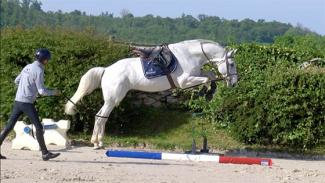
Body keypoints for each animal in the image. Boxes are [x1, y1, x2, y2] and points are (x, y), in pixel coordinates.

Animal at [65, 39, 238, 149]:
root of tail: (106, 70)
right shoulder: (184, 81)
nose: (234, 83)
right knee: (100, 117)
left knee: (102, 117)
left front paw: (211, 90)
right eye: (231, 64)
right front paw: (207, 90)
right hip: (112, 99)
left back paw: (99, 142)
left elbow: (210, 74)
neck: (190, 55)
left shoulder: (196, 75)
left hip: (113, 100)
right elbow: (207, 78)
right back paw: (96, 143)